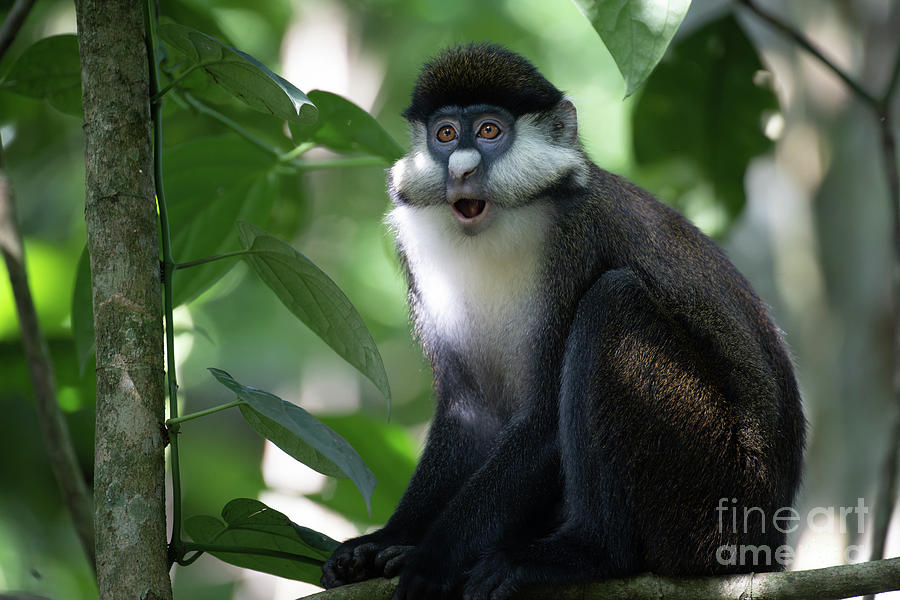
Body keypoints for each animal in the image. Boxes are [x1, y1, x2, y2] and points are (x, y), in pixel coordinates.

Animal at [320, 43, 804, 600]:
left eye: (489, 130)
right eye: (445, 134)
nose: (461, 169)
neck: (498, 229)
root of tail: (767, 543)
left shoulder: (580, 236)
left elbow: (546, 416)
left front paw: (431, 559)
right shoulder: (415, 250)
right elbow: (470, 413)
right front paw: (384, 541)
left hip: (711, 493)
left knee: (612, 301)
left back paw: (585, 551)